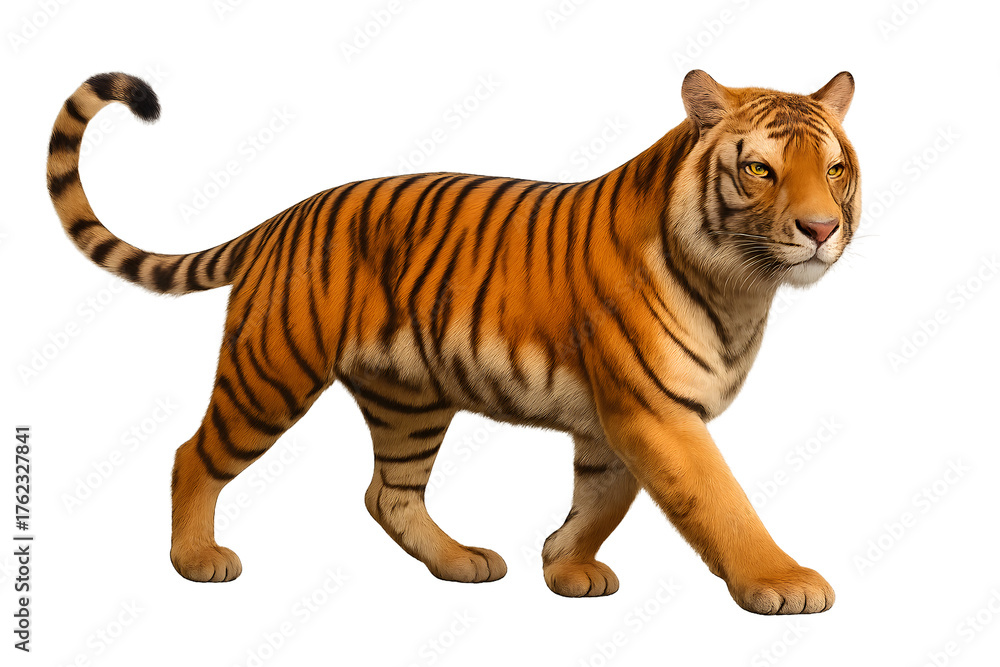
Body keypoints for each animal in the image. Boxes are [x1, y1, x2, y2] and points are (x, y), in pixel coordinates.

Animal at [46, 69, 859, 615]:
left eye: (835, 167)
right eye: (759, 168)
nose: (822, 228)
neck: (743, 289)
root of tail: (283, 216)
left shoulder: (617, 420)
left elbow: (602, 497)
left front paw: (563, 566)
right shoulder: (654, 411)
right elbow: (719, 500)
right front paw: (782, 581)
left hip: (408, 400)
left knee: (388, 493)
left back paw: (462, 562)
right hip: (271, 372)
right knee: (193, 455)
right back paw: (195, 560)